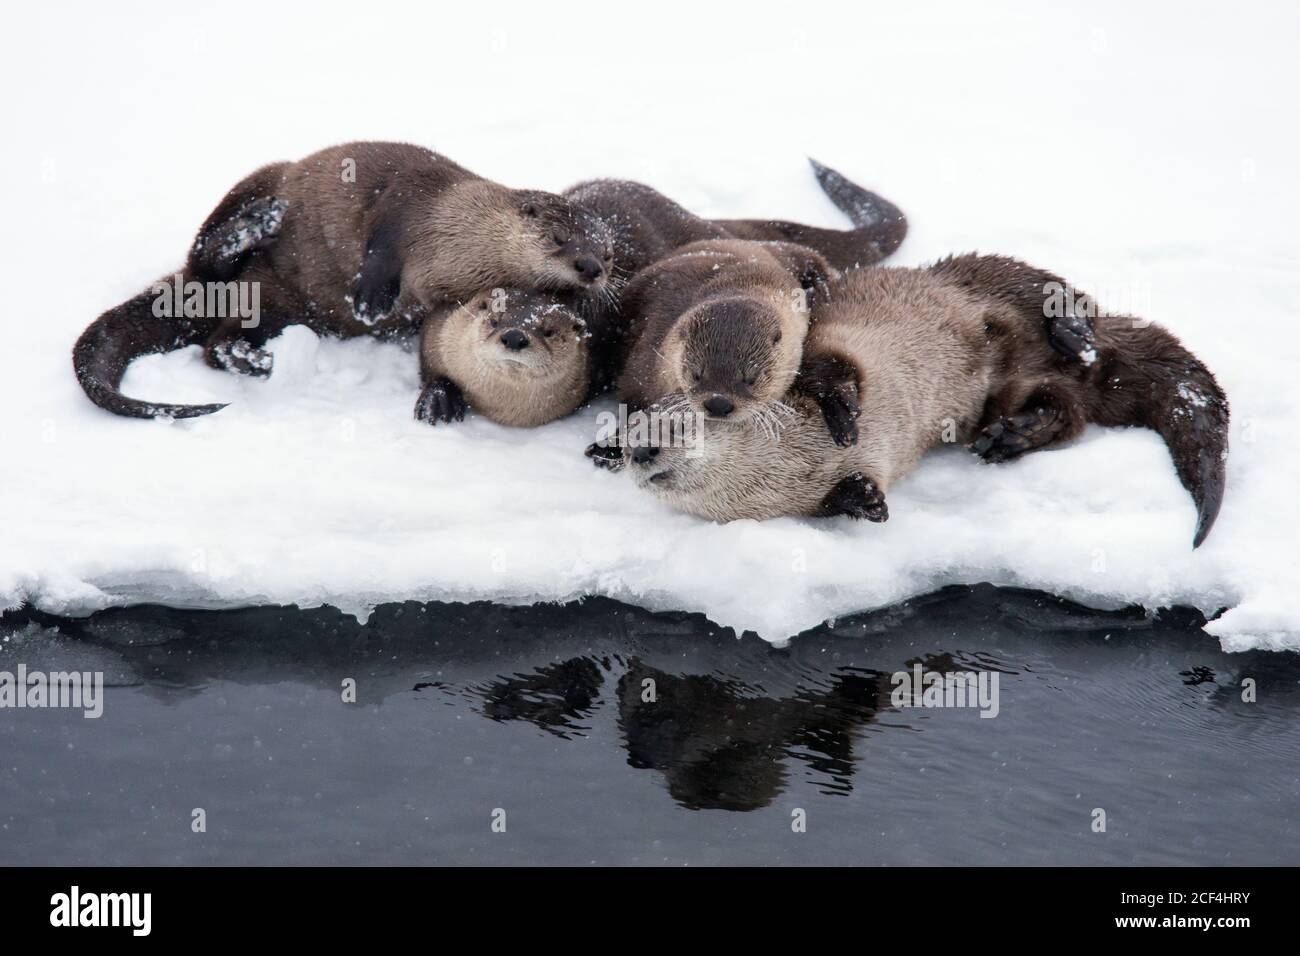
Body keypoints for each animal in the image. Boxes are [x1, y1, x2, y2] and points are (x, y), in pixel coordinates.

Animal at [73, 140, 611, 416]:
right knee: (205, 256)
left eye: (606, 252)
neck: (457, 237)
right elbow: (380, 248)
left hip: (274, 300)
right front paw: (372, 301)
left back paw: (262, 360)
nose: (591, 268)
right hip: (264, 178)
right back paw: (257, 223)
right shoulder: (405, 202)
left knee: (217, 343)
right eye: (560, 237)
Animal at [626, 254, 1227, 548]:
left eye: (676, 429)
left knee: (1045, 287)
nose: (639, 453)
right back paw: (1014, 434)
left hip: (983, 274)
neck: (793, 463)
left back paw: (1072, 329)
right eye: (629, 438)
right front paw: (863, 500)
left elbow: (834, 368)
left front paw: (845, 417)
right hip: (1026, 388)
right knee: (1066, 410)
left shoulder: (825, 344)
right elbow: (839, 497)